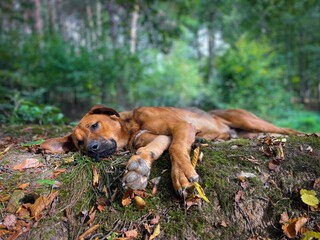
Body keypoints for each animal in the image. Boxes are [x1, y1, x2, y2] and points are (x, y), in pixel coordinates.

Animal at [40, 105, 300, 197]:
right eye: (79, 143)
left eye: (95, 125)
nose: (91, 150)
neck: (132, 126)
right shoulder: (159, 136)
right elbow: (153, 149)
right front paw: (139, 168)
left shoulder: (181, 127)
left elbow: (176, 147)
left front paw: (182, 174)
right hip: (247, 131)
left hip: (247, 120)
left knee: (285, 128)